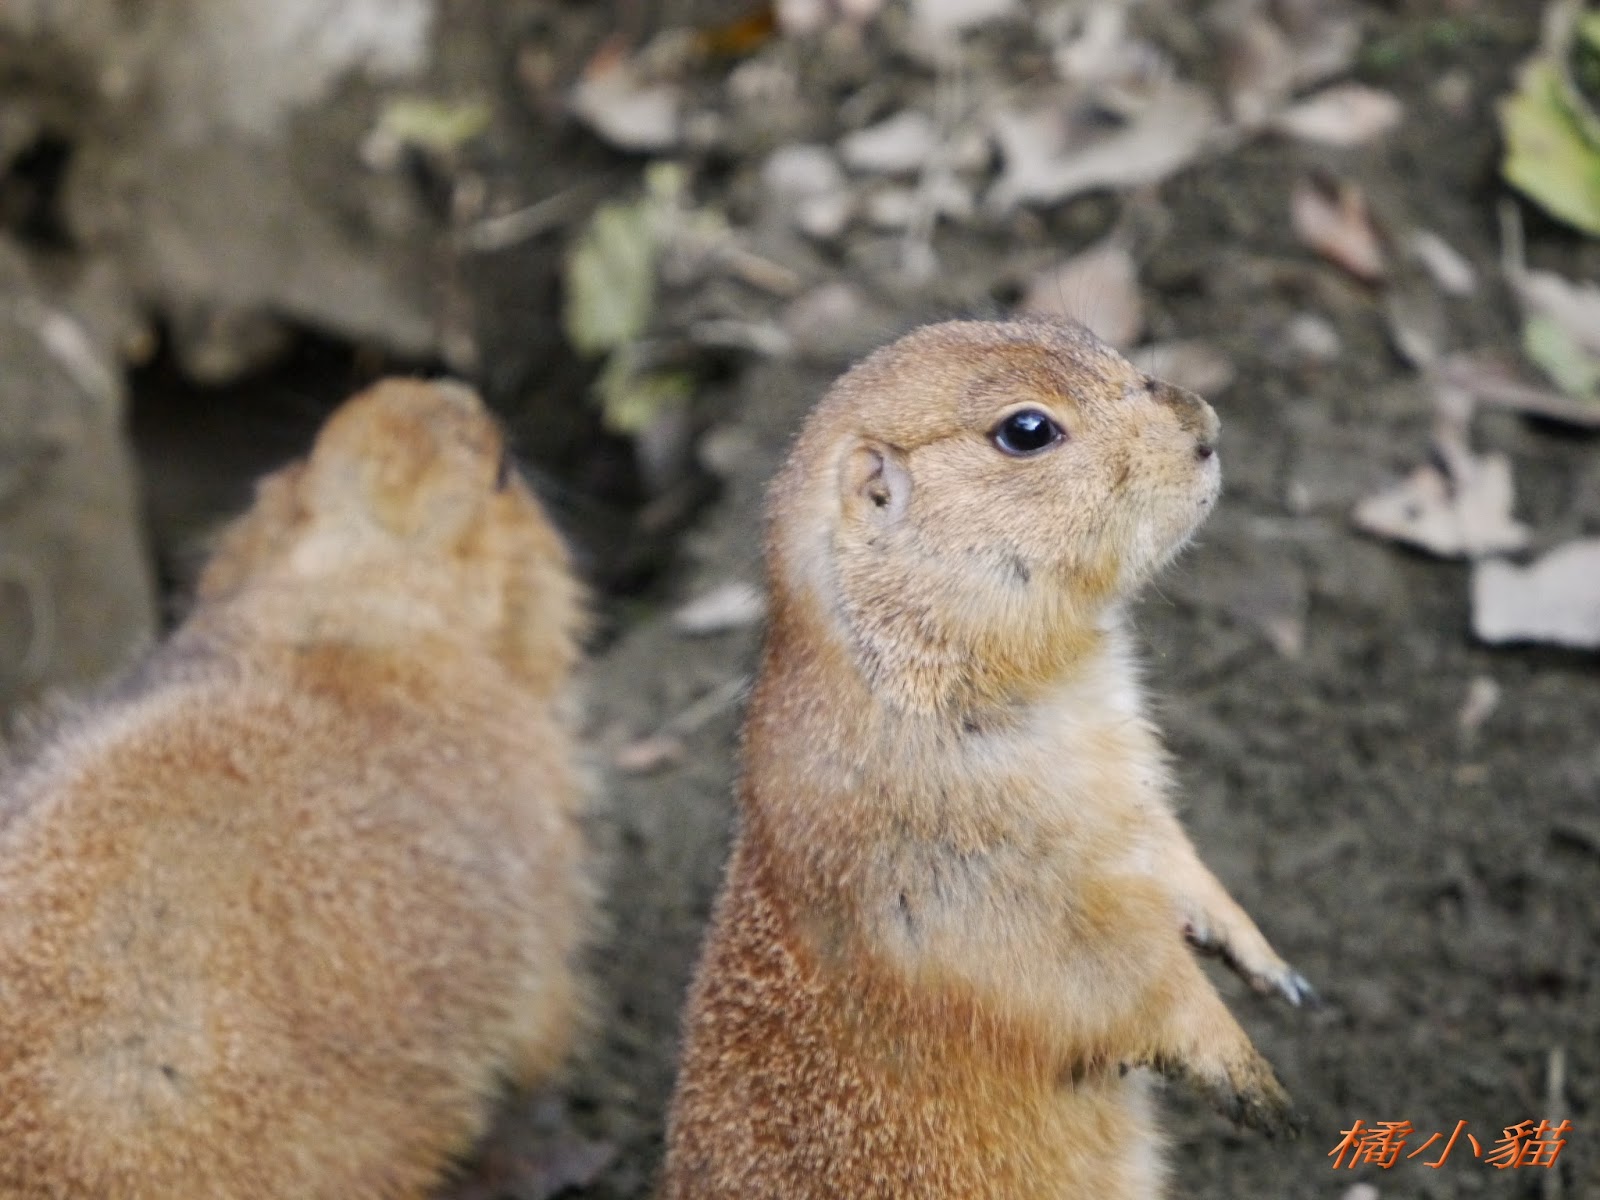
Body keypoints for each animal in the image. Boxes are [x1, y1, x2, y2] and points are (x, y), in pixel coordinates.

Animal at [0, 379, 592, 1198]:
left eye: (309, 446)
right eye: (504, 472)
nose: (443, 391)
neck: (355, 599)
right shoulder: (542, 843)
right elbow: (545, 1009)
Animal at [661, 319, 1311, 1200]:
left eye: (1084, 333)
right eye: (1027, 430)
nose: (1207, 427)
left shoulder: (1127, 781)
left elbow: (1171, 852)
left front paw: (1269, 963)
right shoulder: (968, 874)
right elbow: (1112, 969)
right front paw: (1254, 1082)